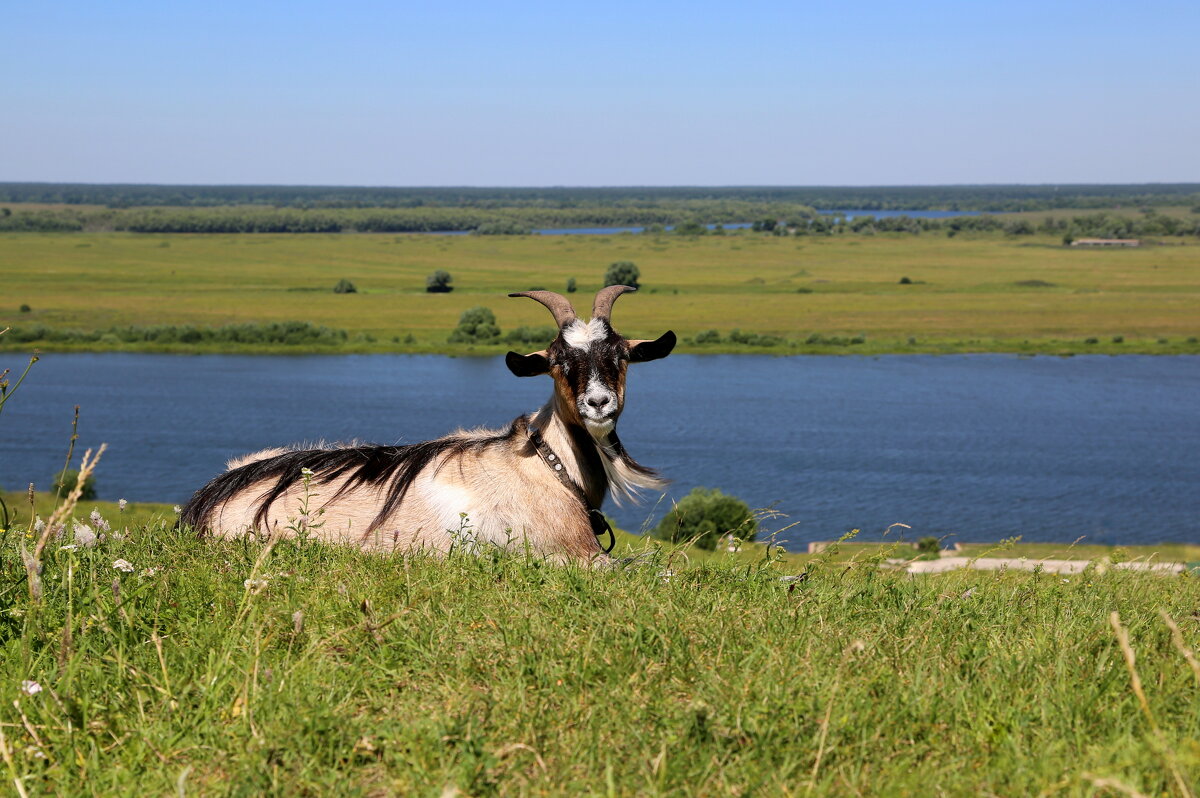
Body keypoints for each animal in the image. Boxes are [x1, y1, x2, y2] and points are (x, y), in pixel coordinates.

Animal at [177, 283, 676, 564]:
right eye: (558, 362)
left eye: (621, 356)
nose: (598, 402)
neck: (544, 466)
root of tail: (199, 507)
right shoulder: (572, 557)